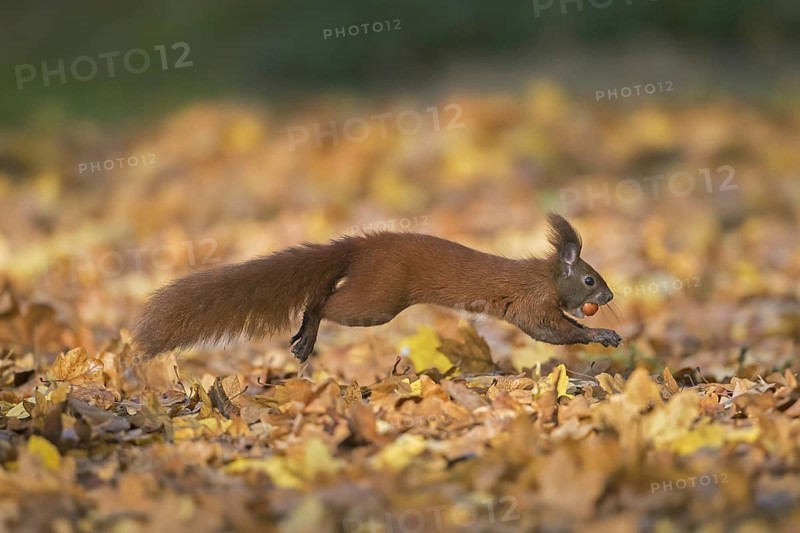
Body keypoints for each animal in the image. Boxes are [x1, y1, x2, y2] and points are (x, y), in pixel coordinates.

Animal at [133, 213, 621, 362]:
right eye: (590, 279)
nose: (610, 298)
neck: (545, 275)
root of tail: (361, 247)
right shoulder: (529, 303)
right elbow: (549, 329)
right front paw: (603, 334)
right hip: (379, 299)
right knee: (324, 304)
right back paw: (306, 337)